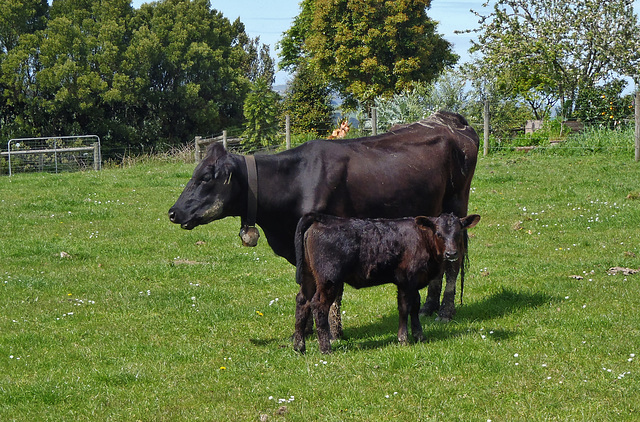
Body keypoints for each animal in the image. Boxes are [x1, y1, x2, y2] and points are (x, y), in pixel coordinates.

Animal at [170, 109, 480, 330]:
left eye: (205, 177)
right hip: (434, 212)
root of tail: (448, 119)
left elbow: (332, 293)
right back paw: (428, 307)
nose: (173, 211)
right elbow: (306, 287)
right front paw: (306, 330)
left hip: (456, 207)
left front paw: (332, 331)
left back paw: (445, 311)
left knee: (454, 263)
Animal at [292, 213, 478, 354]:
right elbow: (405, 307)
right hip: (328, 280)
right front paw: (403, 338)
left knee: (302, 302)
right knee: (318, 305)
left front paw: (419, 336)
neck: (423, 240)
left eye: (458, 233)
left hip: (309, 276)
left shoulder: (414, 282)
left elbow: (415, 306)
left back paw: (299, 346)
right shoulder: (406, 280)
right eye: (438, 233)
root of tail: (321, 219)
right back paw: (325, 348)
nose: (451, 253)